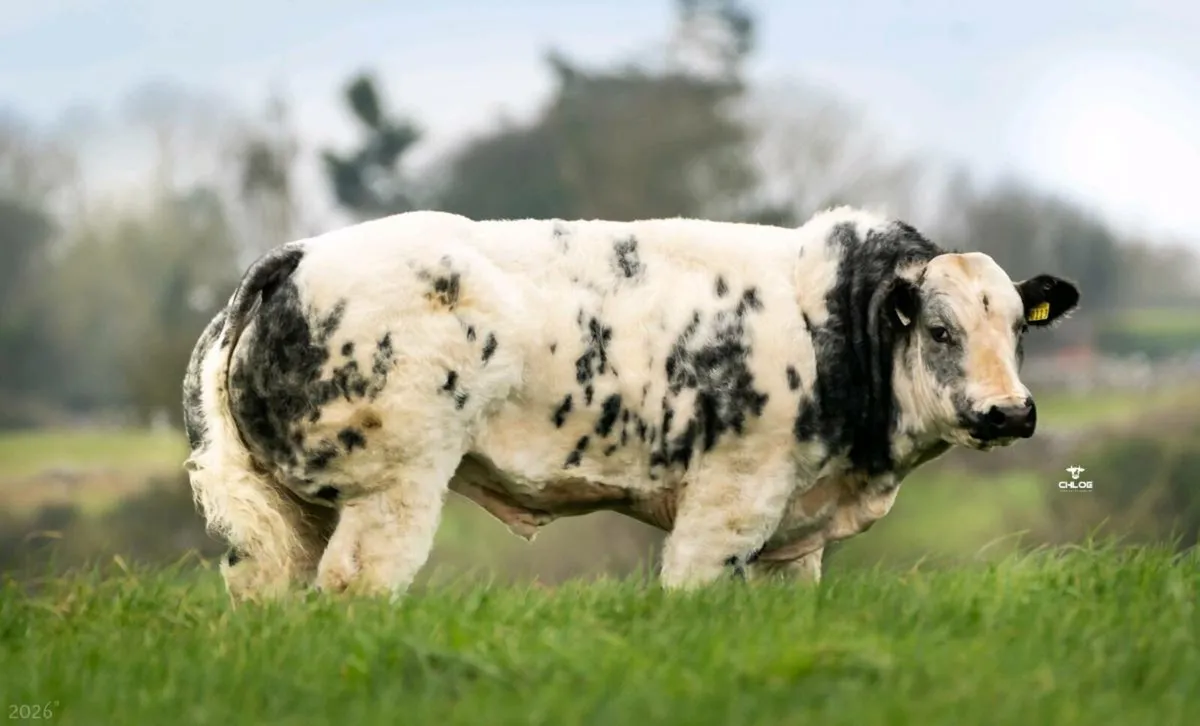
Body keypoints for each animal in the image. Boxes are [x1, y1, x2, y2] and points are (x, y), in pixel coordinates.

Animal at [181, 206, 1080, 602]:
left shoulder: (795, 543)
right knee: (355, 588)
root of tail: (298, 253)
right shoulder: (729, 506)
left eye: (1018, 329)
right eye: (939, 329)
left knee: (263, 590)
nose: (1011, 412)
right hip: (394, 489)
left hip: (291, 512)